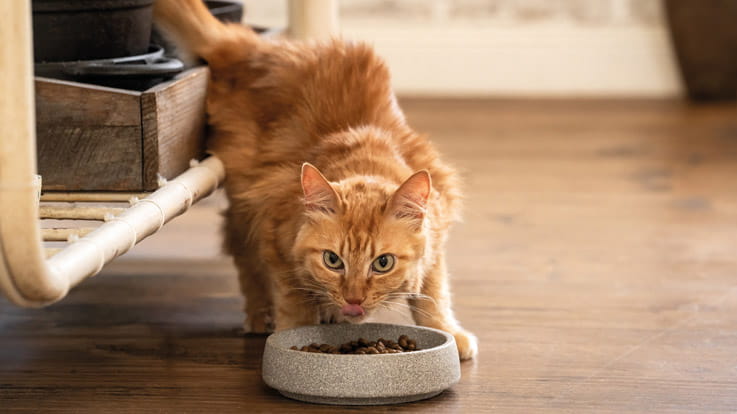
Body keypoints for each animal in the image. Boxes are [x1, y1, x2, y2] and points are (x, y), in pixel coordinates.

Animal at [154, 0, 478, 360]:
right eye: (332, 260)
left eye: (383, 263)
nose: (353, 299)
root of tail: (254, 47)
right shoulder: (274, 235)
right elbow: (294, 301)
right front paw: (294, 338)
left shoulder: (436, 237)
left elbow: (433, 295)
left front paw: (449, 334)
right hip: (244, 206)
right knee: (246, 264)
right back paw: (259, 317)